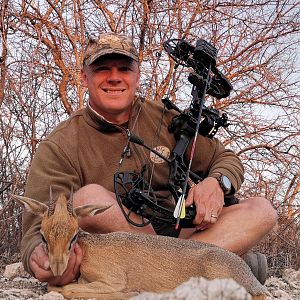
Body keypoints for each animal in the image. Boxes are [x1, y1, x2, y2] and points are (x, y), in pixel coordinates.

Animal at [11, 191, 266, 298]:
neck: (89, 249)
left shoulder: (112, 280)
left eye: (74, 236)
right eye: (43, 236)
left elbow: (64, 289)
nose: (57, 268)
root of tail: (251, 279)